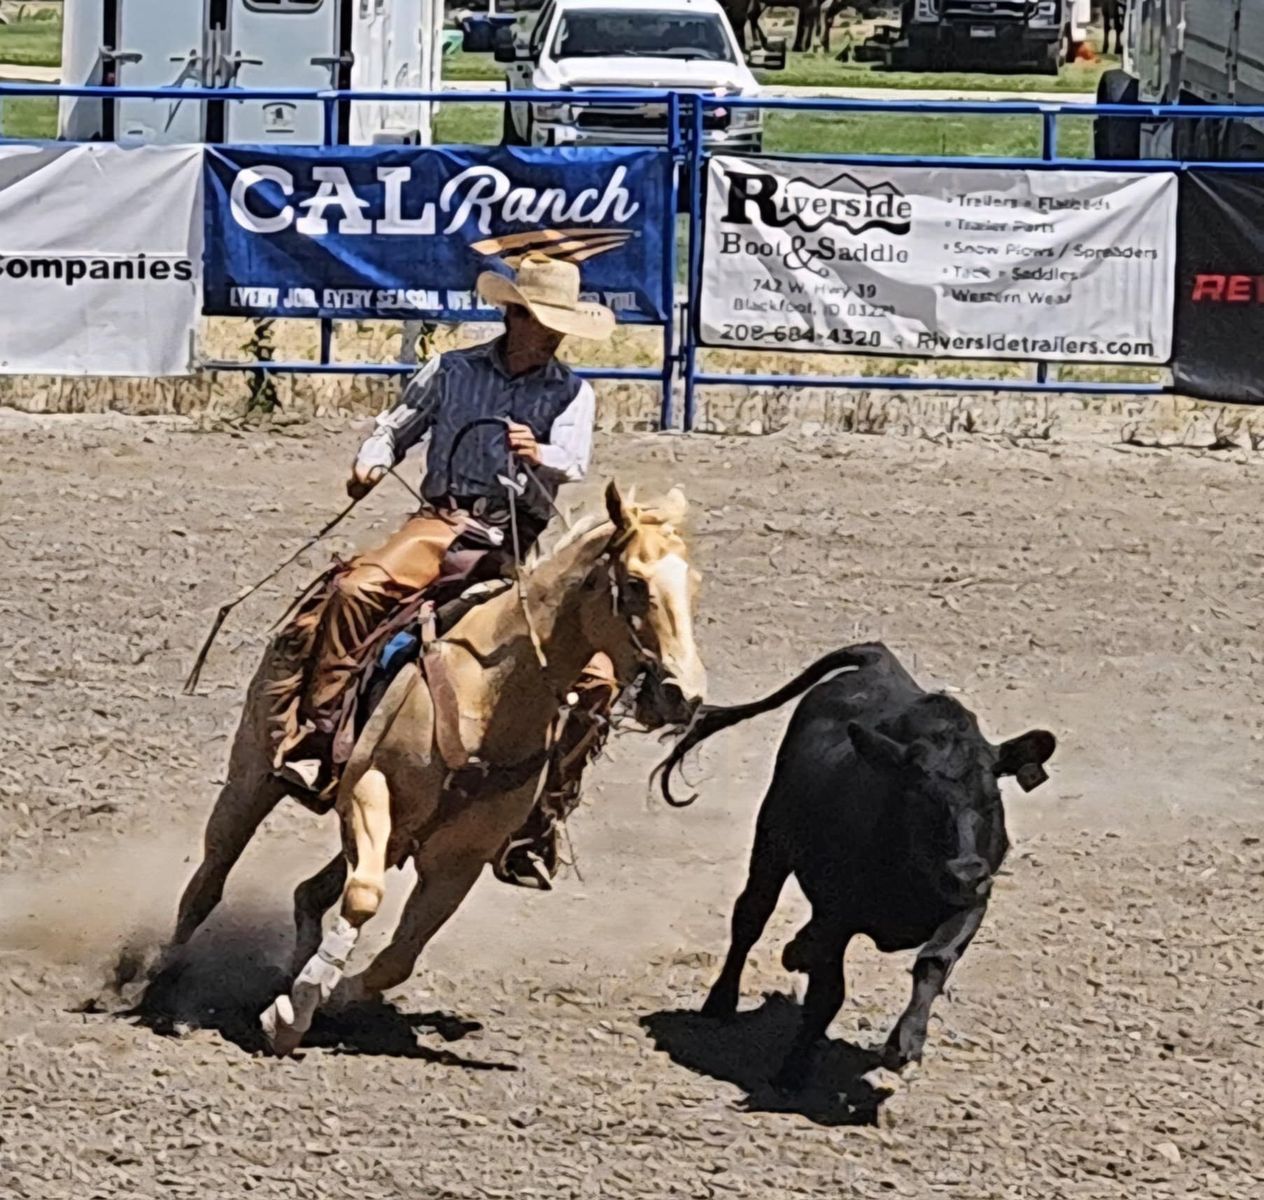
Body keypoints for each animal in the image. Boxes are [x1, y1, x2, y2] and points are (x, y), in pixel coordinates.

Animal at [221, 483, 705, 1054]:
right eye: (634, 583)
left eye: (693, 585)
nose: (685, 696)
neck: (490, 693)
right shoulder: (367, 788)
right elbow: (364, 897)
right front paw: (290, 1016)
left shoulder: (462, 858)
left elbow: (399, 956)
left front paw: (328, 997)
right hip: (253, 772)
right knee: (213, 871)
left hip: (394, 837)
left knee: (311, 894)